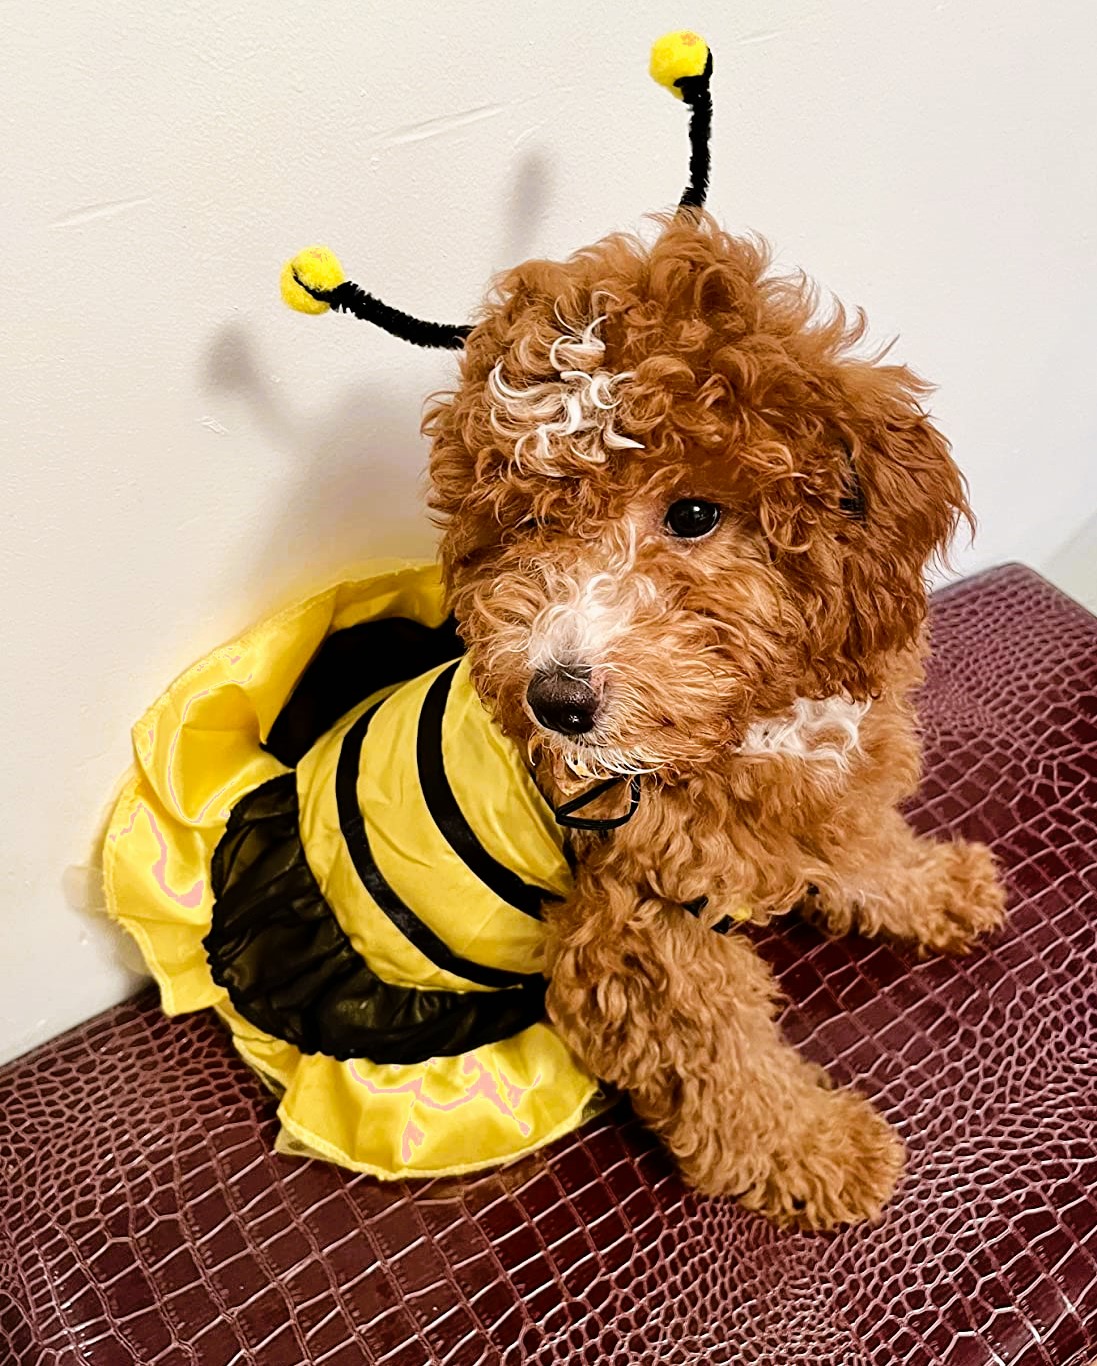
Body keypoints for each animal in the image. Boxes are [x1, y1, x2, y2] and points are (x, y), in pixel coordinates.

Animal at [423, 210, 1010, 1229]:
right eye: (530, 526)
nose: (553, 702)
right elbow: (721, 1066)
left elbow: (867, 848)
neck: (750, 716)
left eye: (693, 513)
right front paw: (812, 1149)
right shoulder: (641, 930)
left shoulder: (832, 786)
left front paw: (932, 886)